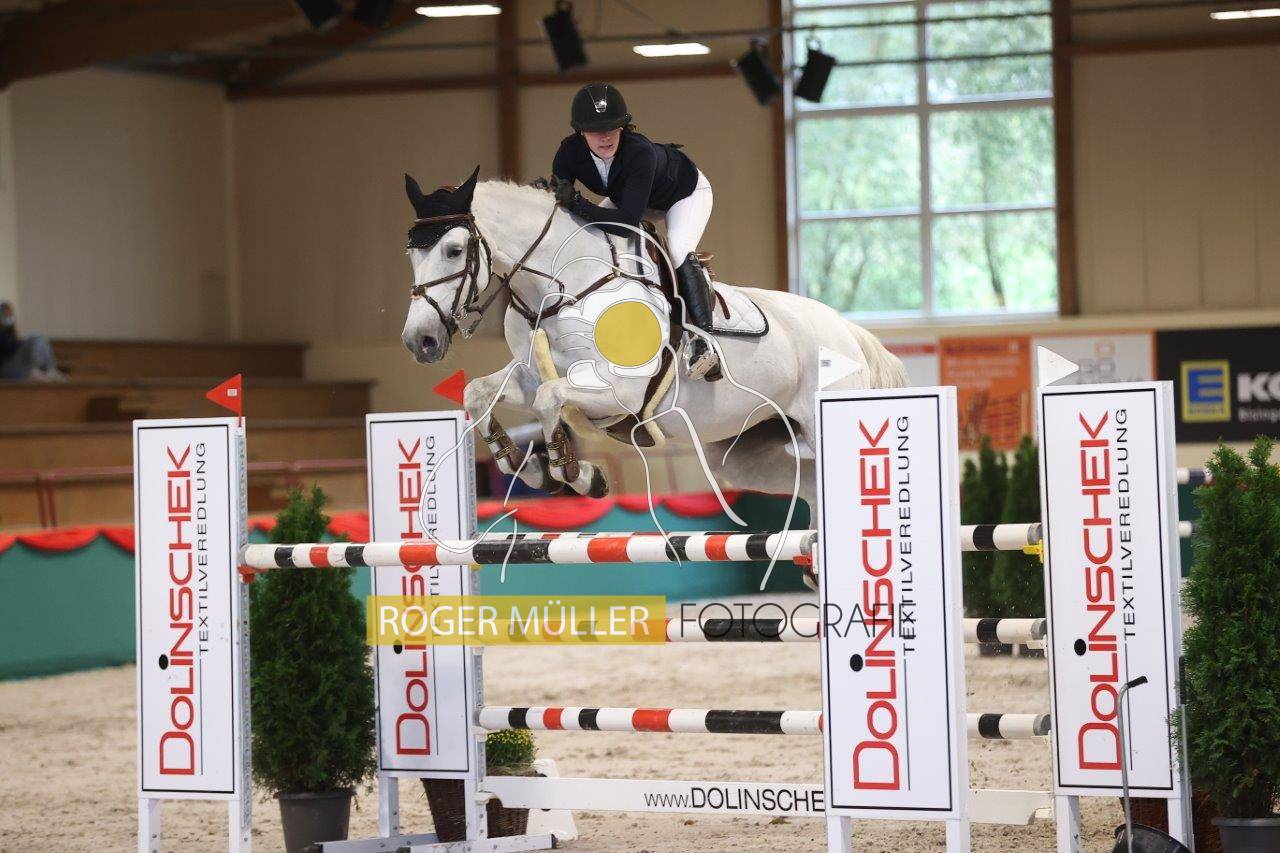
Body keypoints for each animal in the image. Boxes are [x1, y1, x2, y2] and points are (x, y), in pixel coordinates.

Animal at [400, 167, 909, 514]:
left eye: (454, 250)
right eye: (412, 254)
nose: (419, 341)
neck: (567, 288)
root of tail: (847, 331)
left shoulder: (619, 393)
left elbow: (549, 401)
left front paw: (577, 474)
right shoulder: (531, 375)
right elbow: (479, 392)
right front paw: (529, 466)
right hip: (743, 452)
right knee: (807, 486)